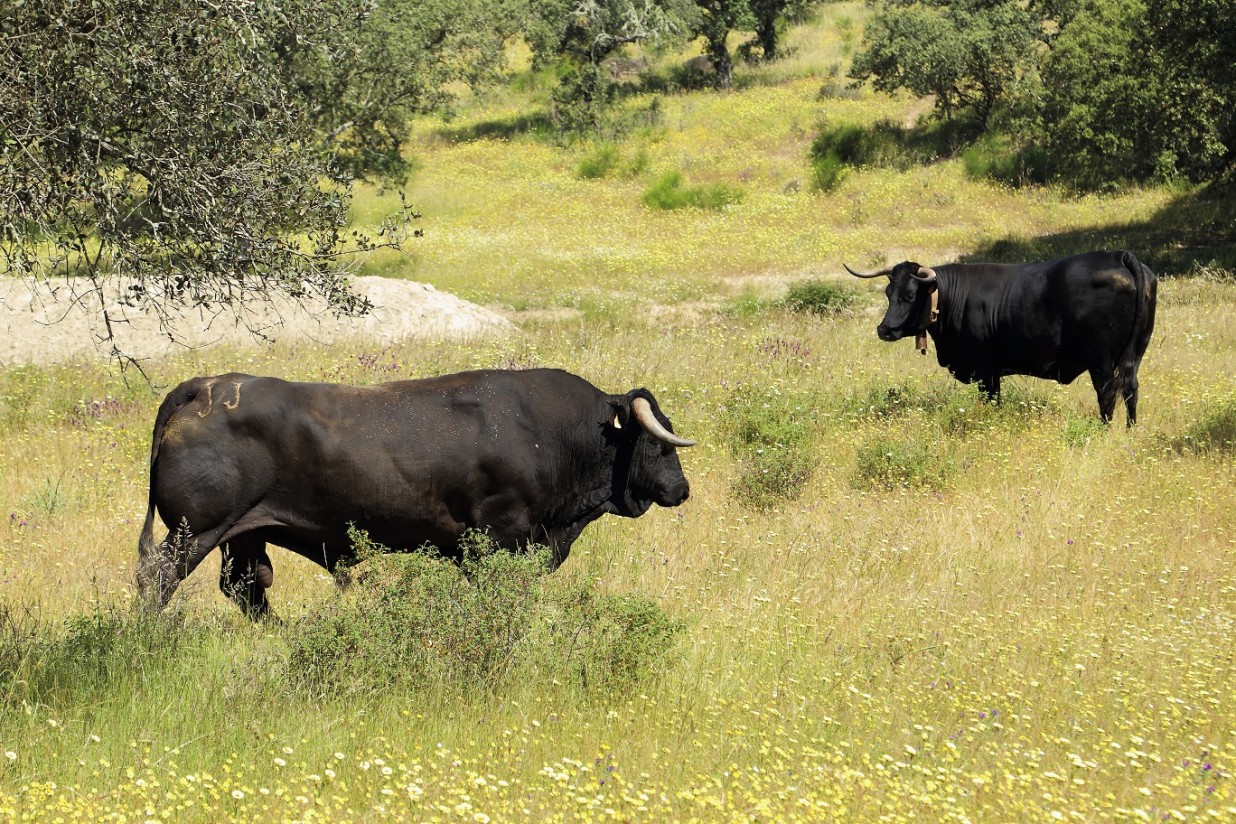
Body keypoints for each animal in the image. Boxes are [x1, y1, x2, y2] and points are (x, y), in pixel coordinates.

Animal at [137, 368, 697, 617]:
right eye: (657, 443)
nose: (682, 489)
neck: (551, 432)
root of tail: (203, 387)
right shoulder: (501, 539)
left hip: (242, 534)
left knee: (246, 588)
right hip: (196, 532)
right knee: (158, 579)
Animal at [845, 248, 1151, 422]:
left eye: (910, 295)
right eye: (888, 292)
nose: (884, 329)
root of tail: (1118, 255)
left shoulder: (985, 369)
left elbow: (991, 401)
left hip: (1100, 361)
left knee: (1107, 395)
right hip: (1133, 355)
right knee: (1131, 390)